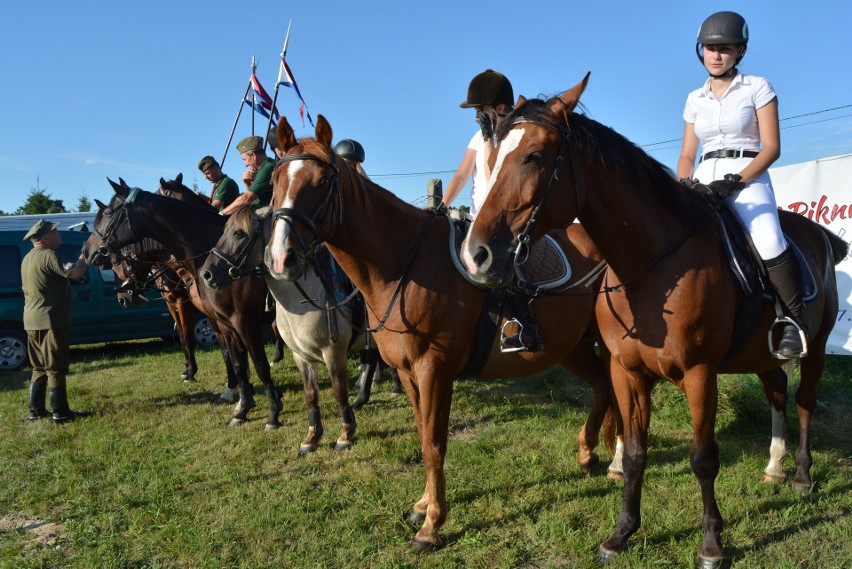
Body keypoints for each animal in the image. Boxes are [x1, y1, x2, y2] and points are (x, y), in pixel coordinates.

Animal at [200, 204, 380, 452]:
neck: (304, 298)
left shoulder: (333, 352)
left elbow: (339, 392)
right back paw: (362, 400)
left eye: (238, 233)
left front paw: (345, 435)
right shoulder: (300, 355)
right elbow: (311, 395)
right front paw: (312, 438)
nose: (206, 274)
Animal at [262, 114, 616, 552]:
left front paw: (432, 525)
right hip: (574, 347)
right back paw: (589, 455)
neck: (404, 264)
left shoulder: (434, 370)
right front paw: (422, 506)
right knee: (604, 388)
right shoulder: (408, 372)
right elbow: (422, 435)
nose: (281, 258)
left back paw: (619, 461)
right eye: (275, 180)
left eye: (323, 181)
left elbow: (433, 444)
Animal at [462, 74, 848, 564]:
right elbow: (634, 455)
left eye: (534, 156)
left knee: (803, 401)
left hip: (815, 347)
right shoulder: (627, 372)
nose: (477, 255)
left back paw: (800, 474)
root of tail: (820, 235)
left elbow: (703, 458)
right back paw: (775, 466)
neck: (650, 266)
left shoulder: (700, 373)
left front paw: (711, 544)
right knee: (778, 391)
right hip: (759, 353)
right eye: (491, 158)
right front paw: (620, 534)